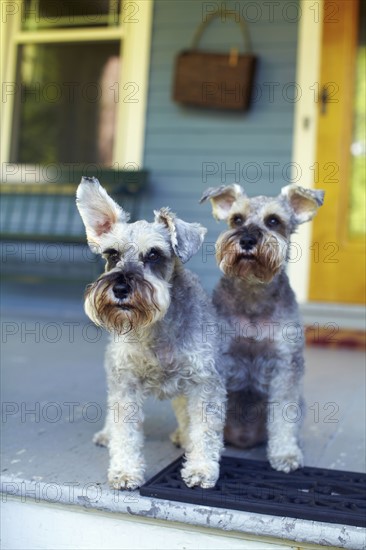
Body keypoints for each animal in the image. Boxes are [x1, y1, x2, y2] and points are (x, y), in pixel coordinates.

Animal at [76, 177, 226, 492]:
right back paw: (107, 435)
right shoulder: (126, 383)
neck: (156, 328)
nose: (120, 288)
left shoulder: (204, 382)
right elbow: (125, 432)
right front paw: (125, 471)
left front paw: (201, 468)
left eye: (154, 254)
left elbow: (204, 429)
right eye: (112, 254)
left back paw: (184, 436)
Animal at [200, 185, 324, 474]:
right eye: (236, 219)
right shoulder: (218, 363)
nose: (246, 240)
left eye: (273, 221)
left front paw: (286, 454)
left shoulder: (285, 364)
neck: (253, 292)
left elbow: (284, 415)